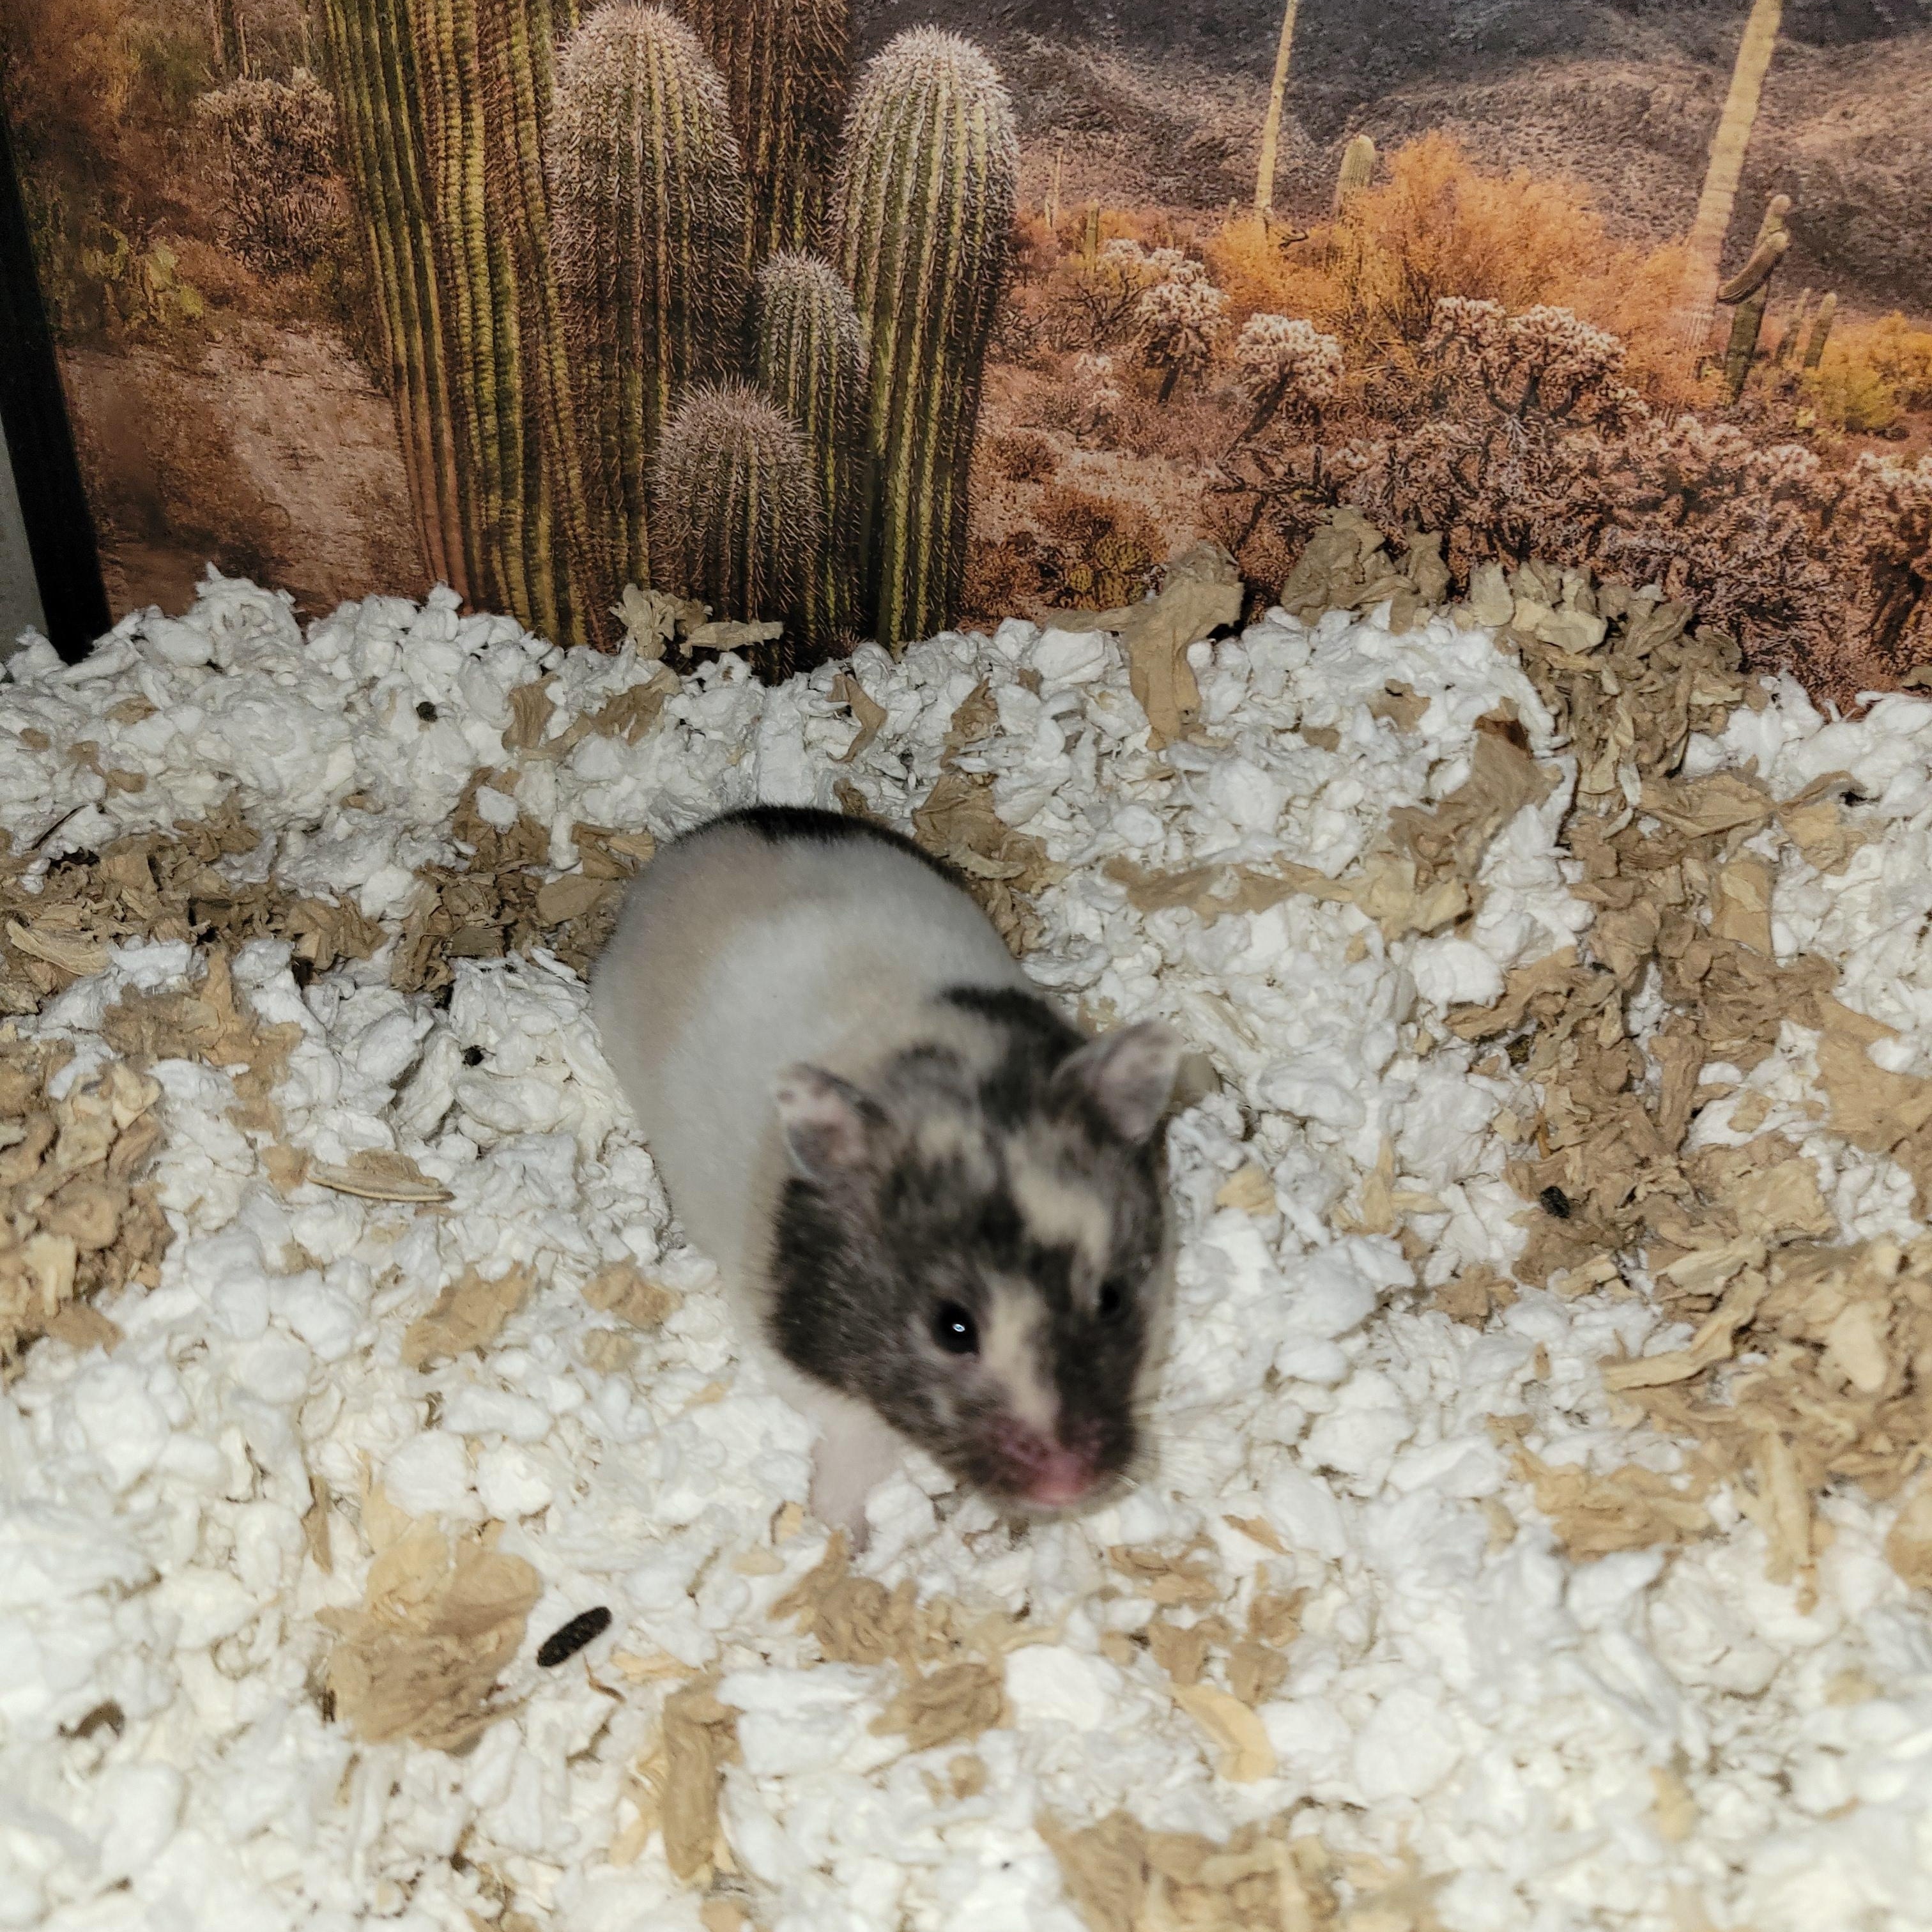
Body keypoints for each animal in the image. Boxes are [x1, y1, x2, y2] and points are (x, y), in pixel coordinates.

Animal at [589, 804, 1182, 1540]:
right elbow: (859, 1445)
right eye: (953, 1329)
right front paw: (831, 1534)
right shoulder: (801, 1365)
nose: (1069, 1486)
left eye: (1112, 1299)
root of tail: (696, 839)